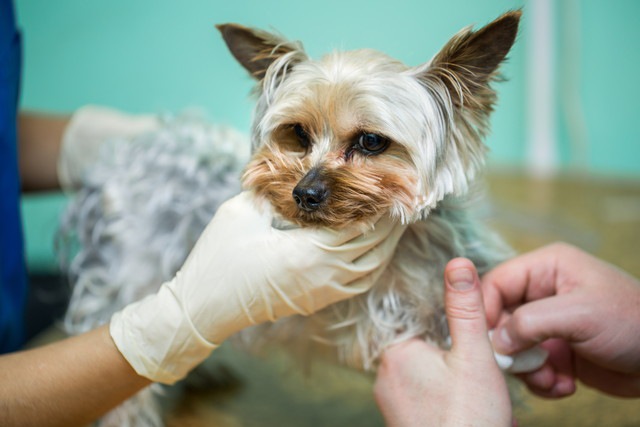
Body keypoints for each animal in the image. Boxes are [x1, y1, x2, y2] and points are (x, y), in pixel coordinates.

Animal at [58, 10, 520, 427]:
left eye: (371, 141)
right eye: (298, 133)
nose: (304, 194)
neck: (406, 244)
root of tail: (118, 162)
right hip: (133, 274)